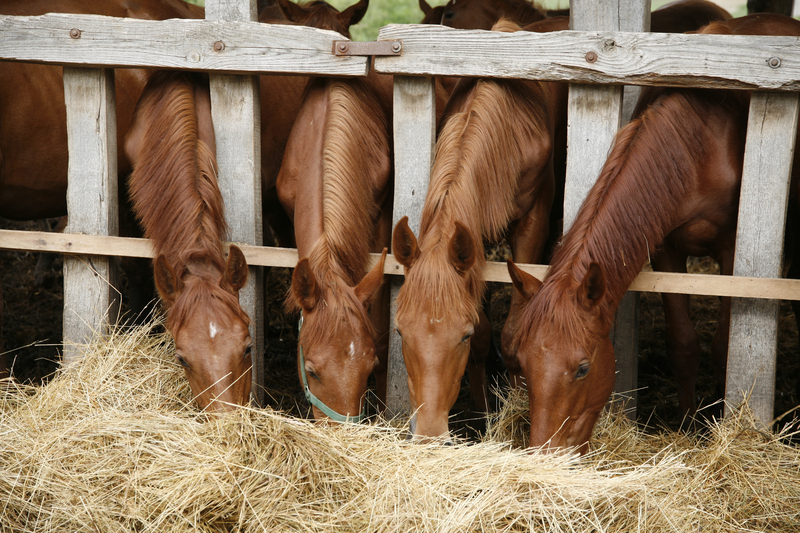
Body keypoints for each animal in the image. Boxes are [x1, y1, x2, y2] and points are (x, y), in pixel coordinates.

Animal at [508, 13, 800, 454]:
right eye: (522, 362)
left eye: (583, 368)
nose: (546, 454)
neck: (699, 146)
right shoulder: (666, 249)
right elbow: (683, 344)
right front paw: (687, 423)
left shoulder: (731, 252)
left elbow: (722, 346)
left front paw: (717, 421)